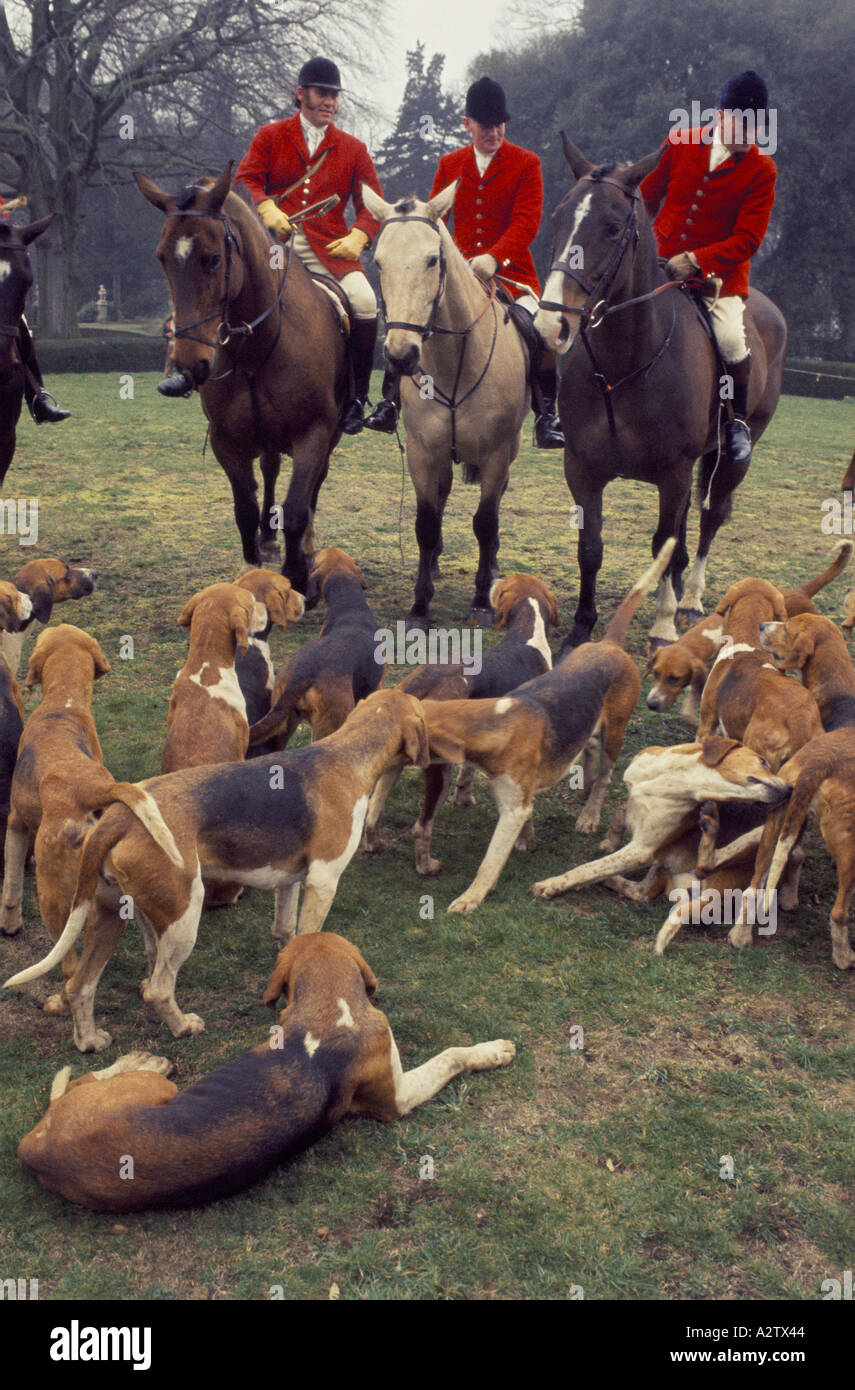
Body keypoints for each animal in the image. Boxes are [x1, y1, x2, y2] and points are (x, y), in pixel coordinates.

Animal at [134, 166, 347, 592]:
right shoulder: (226, 440)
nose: (189, 365)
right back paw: (268, 539)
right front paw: (252, 568)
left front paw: (297, 574)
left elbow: (297, 507)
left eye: (214, 258)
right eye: (162, 257)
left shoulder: (314, 431)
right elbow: (244, 508)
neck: (258, 346)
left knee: (312, 485)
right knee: (269, 470)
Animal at [539, 135, 784, 650]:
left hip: (732, 457)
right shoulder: (582, 469)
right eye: (558, 218)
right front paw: (581, 628)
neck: (623, 367)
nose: (552, 324)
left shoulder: (673, 473)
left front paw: (664, 624)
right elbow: (591, 547)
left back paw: (688, 600)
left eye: (613, 227)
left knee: (710, 518)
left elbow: (662, 542)